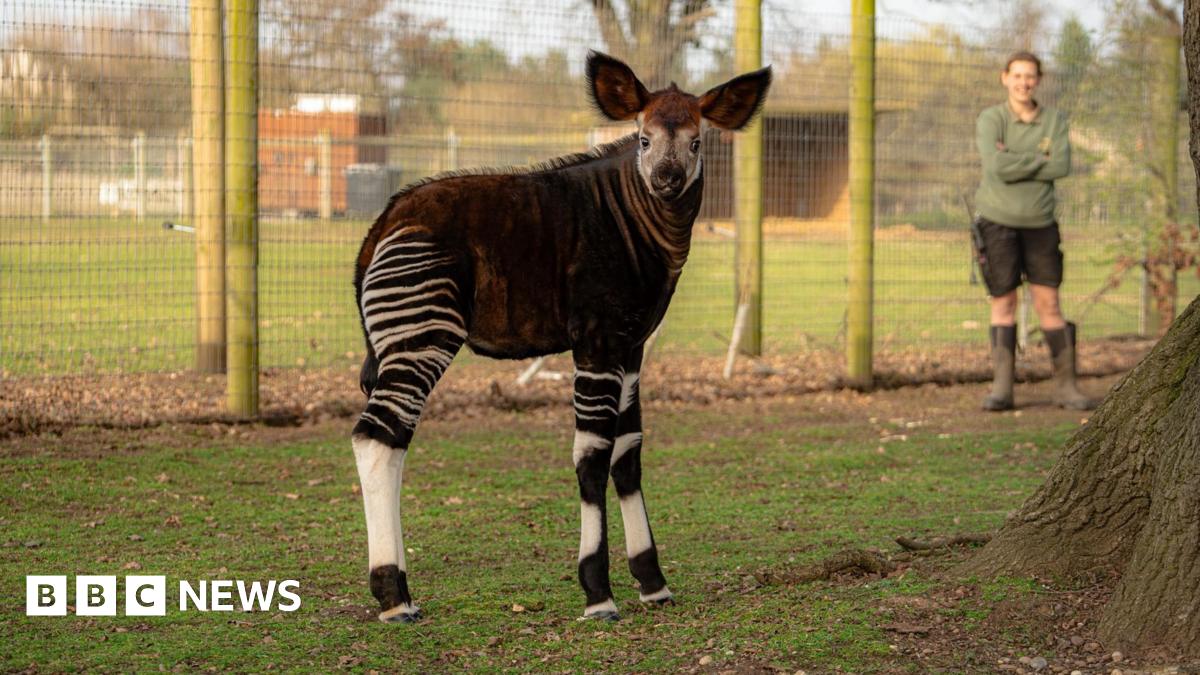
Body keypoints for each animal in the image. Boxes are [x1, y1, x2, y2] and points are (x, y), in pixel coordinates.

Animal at [352, 51, 772, 623]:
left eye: (696, 142)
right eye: (643, 140)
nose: (666, 179)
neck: (641, 225)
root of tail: (384, 221)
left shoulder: (631, 347)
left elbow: (628, 453)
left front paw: (653, 583)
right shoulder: (596, 341)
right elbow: (591, 456)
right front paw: (598, 593)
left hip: (405, 339)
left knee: (387, 439)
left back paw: (397, 592)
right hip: (423, 334)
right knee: (378, 438)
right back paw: (395, 596)